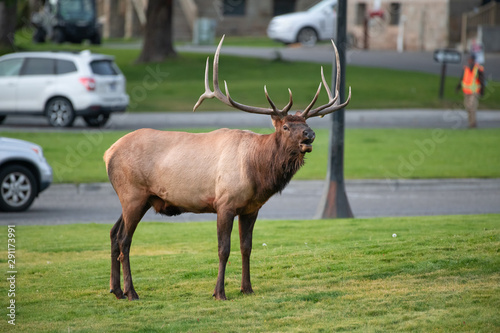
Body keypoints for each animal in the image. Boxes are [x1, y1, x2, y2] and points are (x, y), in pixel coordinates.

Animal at [103, 36, 350, 300]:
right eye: (285, 127)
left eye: (305, 123)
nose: (310, 135)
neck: (258, 173)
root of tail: (108, 153)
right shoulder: (224, 203)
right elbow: (224, 249)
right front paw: (219, 292)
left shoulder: (251, 208)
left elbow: (246, 247)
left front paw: (247, 288)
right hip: (133, 194)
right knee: (124, 239)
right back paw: (131, 292)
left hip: (141, 198)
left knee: (113, 233)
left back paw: (116, 290)